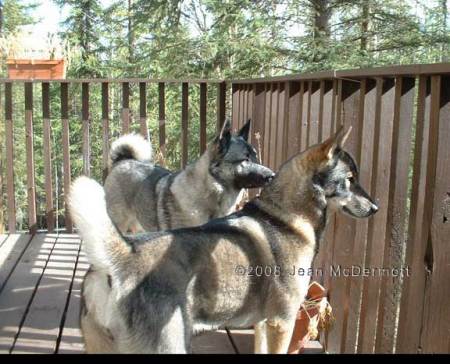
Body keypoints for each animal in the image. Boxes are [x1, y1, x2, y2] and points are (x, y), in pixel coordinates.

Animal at [70, 126, 378, 352]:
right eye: (349, 179)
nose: (376, 208)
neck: (284, 217)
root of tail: (123, 254)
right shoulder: (281, 322)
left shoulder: (263, 324)